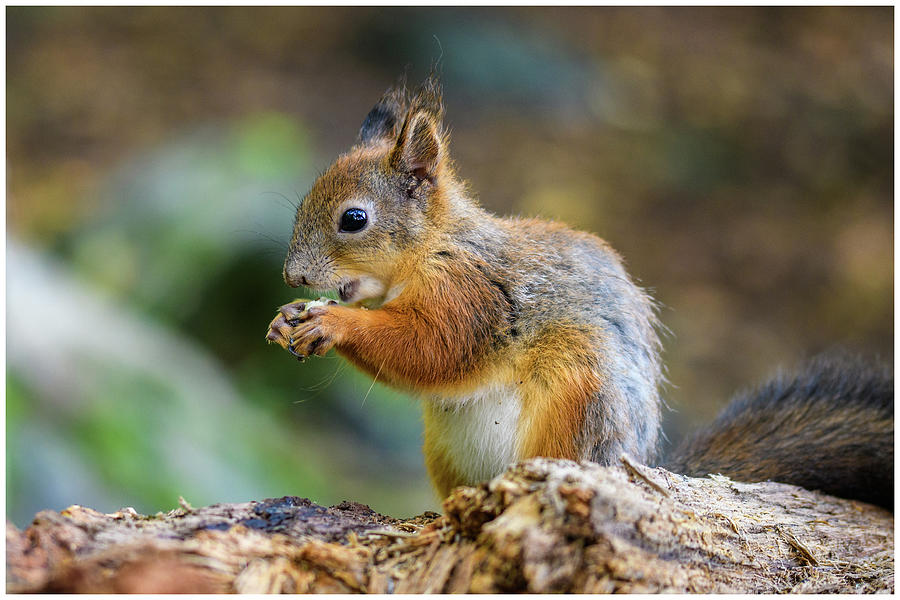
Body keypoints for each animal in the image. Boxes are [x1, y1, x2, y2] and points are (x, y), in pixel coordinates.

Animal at [268, 72, 892, 508]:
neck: (432, 248)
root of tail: (636, 467)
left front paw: (331, 322)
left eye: (354, 219)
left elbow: (433, 349)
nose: (293, 277)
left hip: (578, 397)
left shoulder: (474, 292)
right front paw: (285, 317)